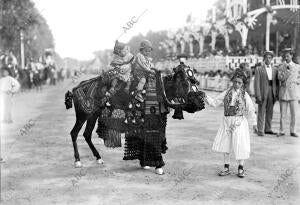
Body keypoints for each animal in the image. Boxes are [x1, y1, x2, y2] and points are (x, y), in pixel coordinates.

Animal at [64, 67, 206, 173]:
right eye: (185, 83)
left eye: (195, 82)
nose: (201, 101)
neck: (160, 90)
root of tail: (76, 88)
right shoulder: (152, 122)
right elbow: (155, 140)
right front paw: (159, 166)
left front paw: (145, 163)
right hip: (82, 114)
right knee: (74, 133)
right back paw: (78, 161)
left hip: (93, 114)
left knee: (87, 134)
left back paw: (98, 157)